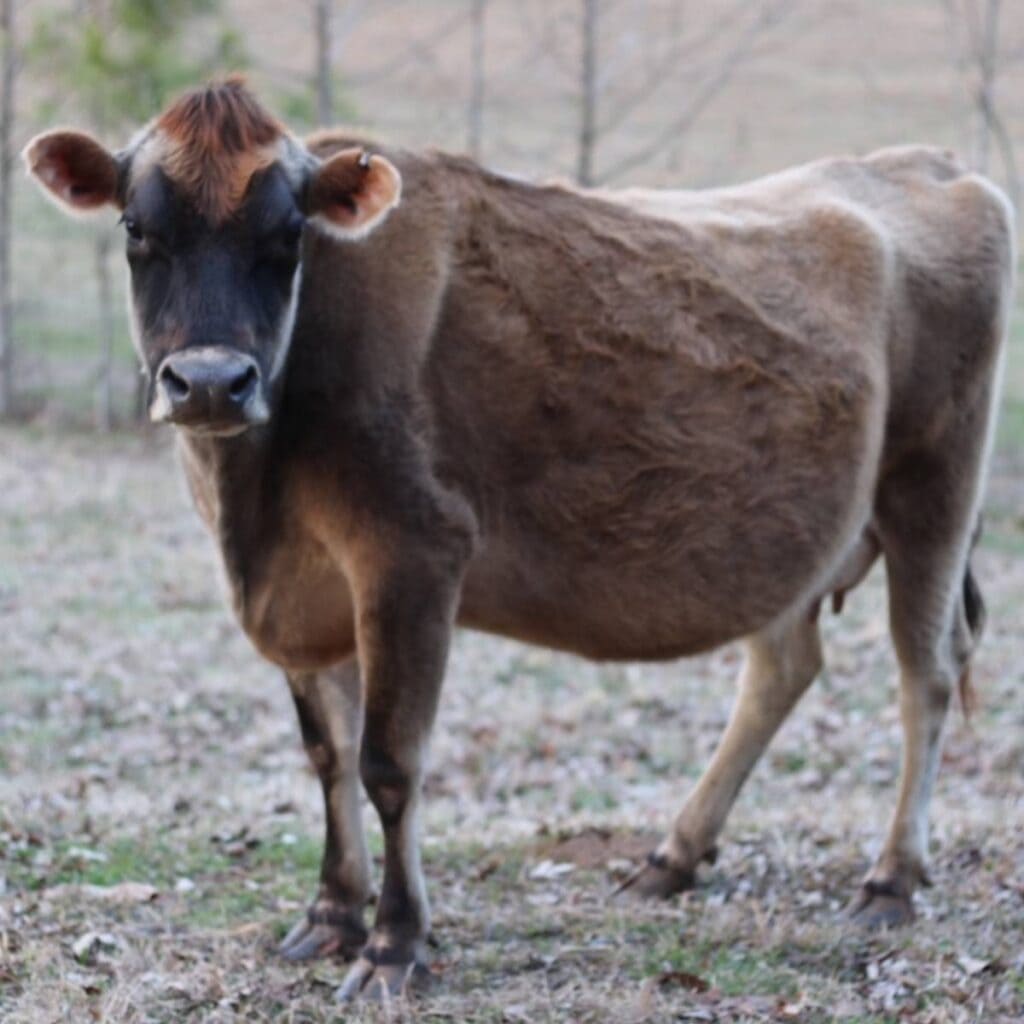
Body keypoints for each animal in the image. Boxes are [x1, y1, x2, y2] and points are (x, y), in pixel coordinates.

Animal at [24, 77, 1015, 999]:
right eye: (137, 229)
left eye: (289, 234)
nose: (208, 381)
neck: (255, 502)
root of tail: (928, 163)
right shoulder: (300, 593)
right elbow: (327, 755)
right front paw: (332, 916)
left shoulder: (414, 553)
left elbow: (389, 763)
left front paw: (394, 945)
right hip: (795, 534)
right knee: (782, 667)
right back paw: (672, 858)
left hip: (935, 485)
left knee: (925, 673)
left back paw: (890, 880)